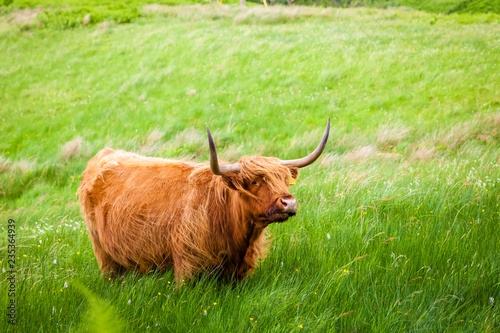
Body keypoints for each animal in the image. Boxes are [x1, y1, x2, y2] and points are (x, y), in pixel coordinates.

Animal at [77, 118, 328, 280]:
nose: (288, 203)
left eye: (284, 179)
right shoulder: (186, 266)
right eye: (254, 182)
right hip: (103, 254)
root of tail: (105, 155)